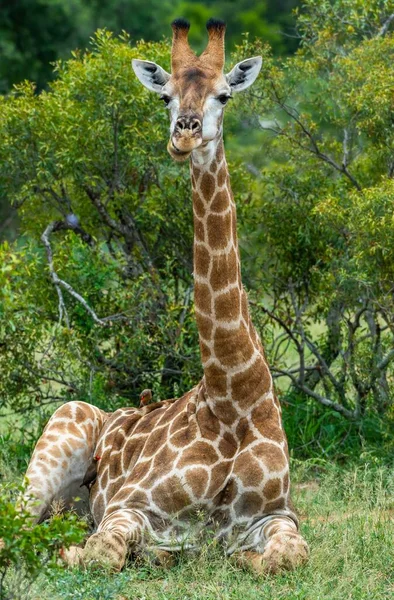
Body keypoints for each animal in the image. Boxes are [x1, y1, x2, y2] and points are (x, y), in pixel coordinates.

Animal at [17, 18, 308, 576]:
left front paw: (241, 560)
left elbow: (288, 557)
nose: (185, 134)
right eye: (165, 97)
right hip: (61, 429)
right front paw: (88, 551)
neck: (234, 398)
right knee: (18, 525)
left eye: (224, 95)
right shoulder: (130, 504)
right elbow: (100, 554)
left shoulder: (278, 515)